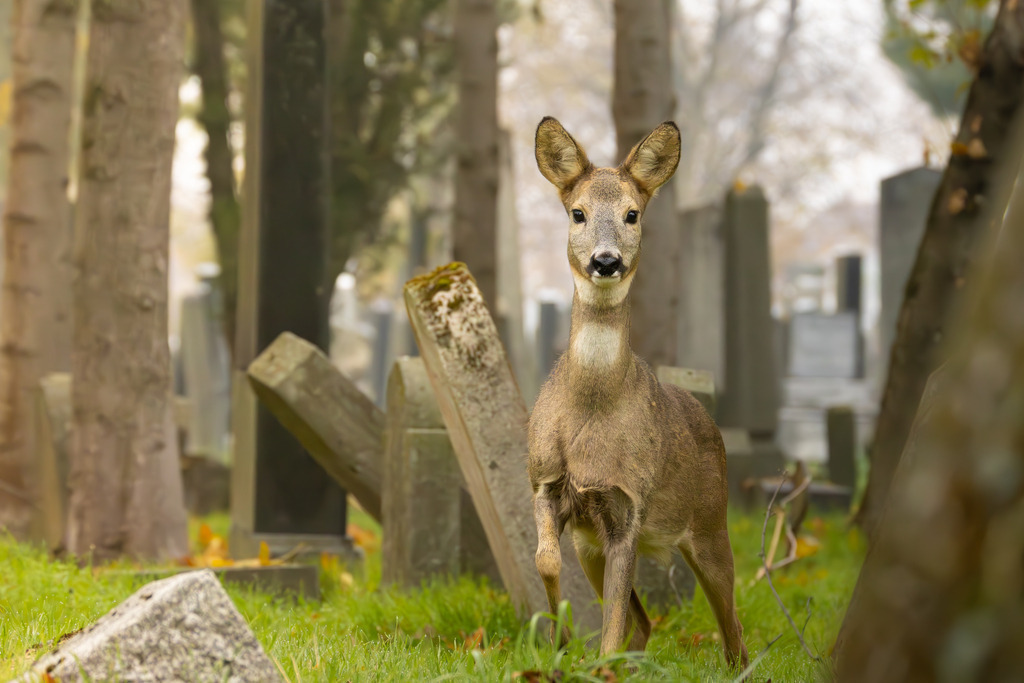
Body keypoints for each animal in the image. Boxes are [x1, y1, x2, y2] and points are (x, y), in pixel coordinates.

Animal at [528, 116, 748, 668]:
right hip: (592, 545)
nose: (606, 261)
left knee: (733, 628)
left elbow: (612, 618)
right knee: (646, 622)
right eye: (578, 212)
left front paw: (587, 655)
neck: (590, 410)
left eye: (632, 213)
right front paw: (561, 645)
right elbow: (545, 561)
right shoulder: (545, 482)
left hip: (712, 522)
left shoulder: (628, 504)